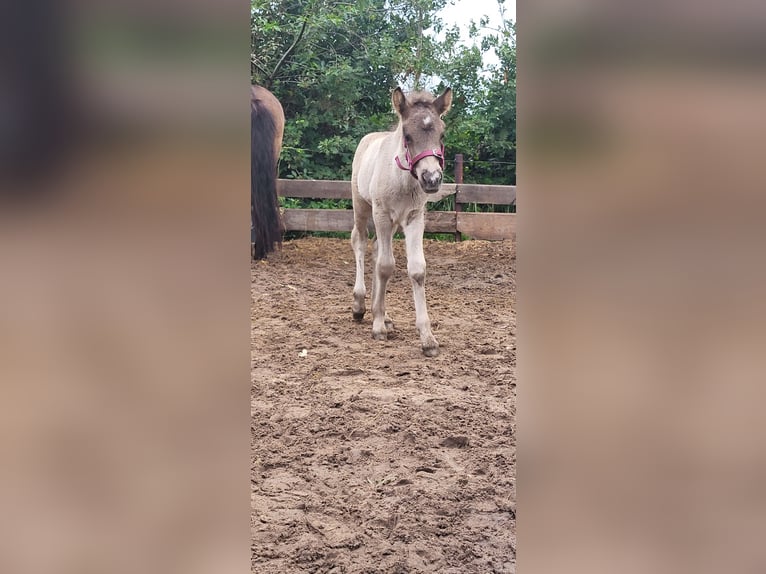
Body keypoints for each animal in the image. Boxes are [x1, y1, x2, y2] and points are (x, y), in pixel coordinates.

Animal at [350, 86, 452, 357]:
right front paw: (377, 327)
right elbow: (386, 266)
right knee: (360, 242)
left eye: (442, 134)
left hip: (394, 222)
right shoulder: (382, 214)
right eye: (407, 135)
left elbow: (417, 269)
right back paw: (360, 306)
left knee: (376, 249)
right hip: (362, 206)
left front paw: (428, 339)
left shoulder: (415, 217)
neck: (404, 180)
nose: (432, 179)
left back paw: (381, 312)